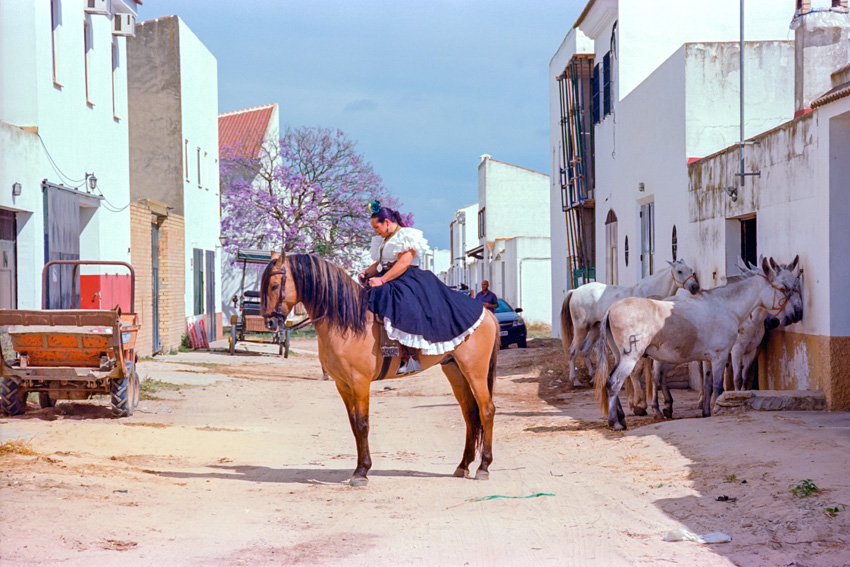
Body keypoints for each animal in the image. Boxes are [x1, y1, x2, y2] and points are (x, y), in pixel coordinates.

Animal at [258, 253, 496, 488]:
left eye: (275, 285)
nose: (269, 323)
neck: (348, 322)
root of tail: (486, 313)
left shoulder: (359, 382)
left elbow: (363, 424)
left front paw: (361, 472)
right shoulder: (342, 384)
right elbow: (354, 424)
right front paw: (360, 467)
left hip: (475, 371)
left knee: (487, 410)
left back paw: (483, 467)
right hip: (454, 370)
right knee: (470, 413)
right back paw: (463, 465)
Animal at [556, 260, 696, 388]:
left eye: (691, 270)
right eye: (679, 271)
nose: (695, 286)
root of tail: (574, 291)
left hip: (595, 328)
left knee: (585, 349)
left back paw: (593, 377)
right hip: (581, 328)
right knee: (573, 351)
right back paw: (575, 381)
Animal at [592, 258, 800, 430]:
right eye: (784, 287)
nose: (795, 314)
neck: (725, 306)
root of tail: (610, 309)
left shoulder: (708, 359)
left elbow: (707, 385)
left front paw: (706, 412)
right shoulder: (721, 356)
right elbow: (719, 386)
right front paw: (716, 410)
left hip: (620, 356)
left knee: (612, 381)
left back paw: (623, 416)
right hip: (631, 358)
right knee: (615, 382)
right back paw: (616, 422)